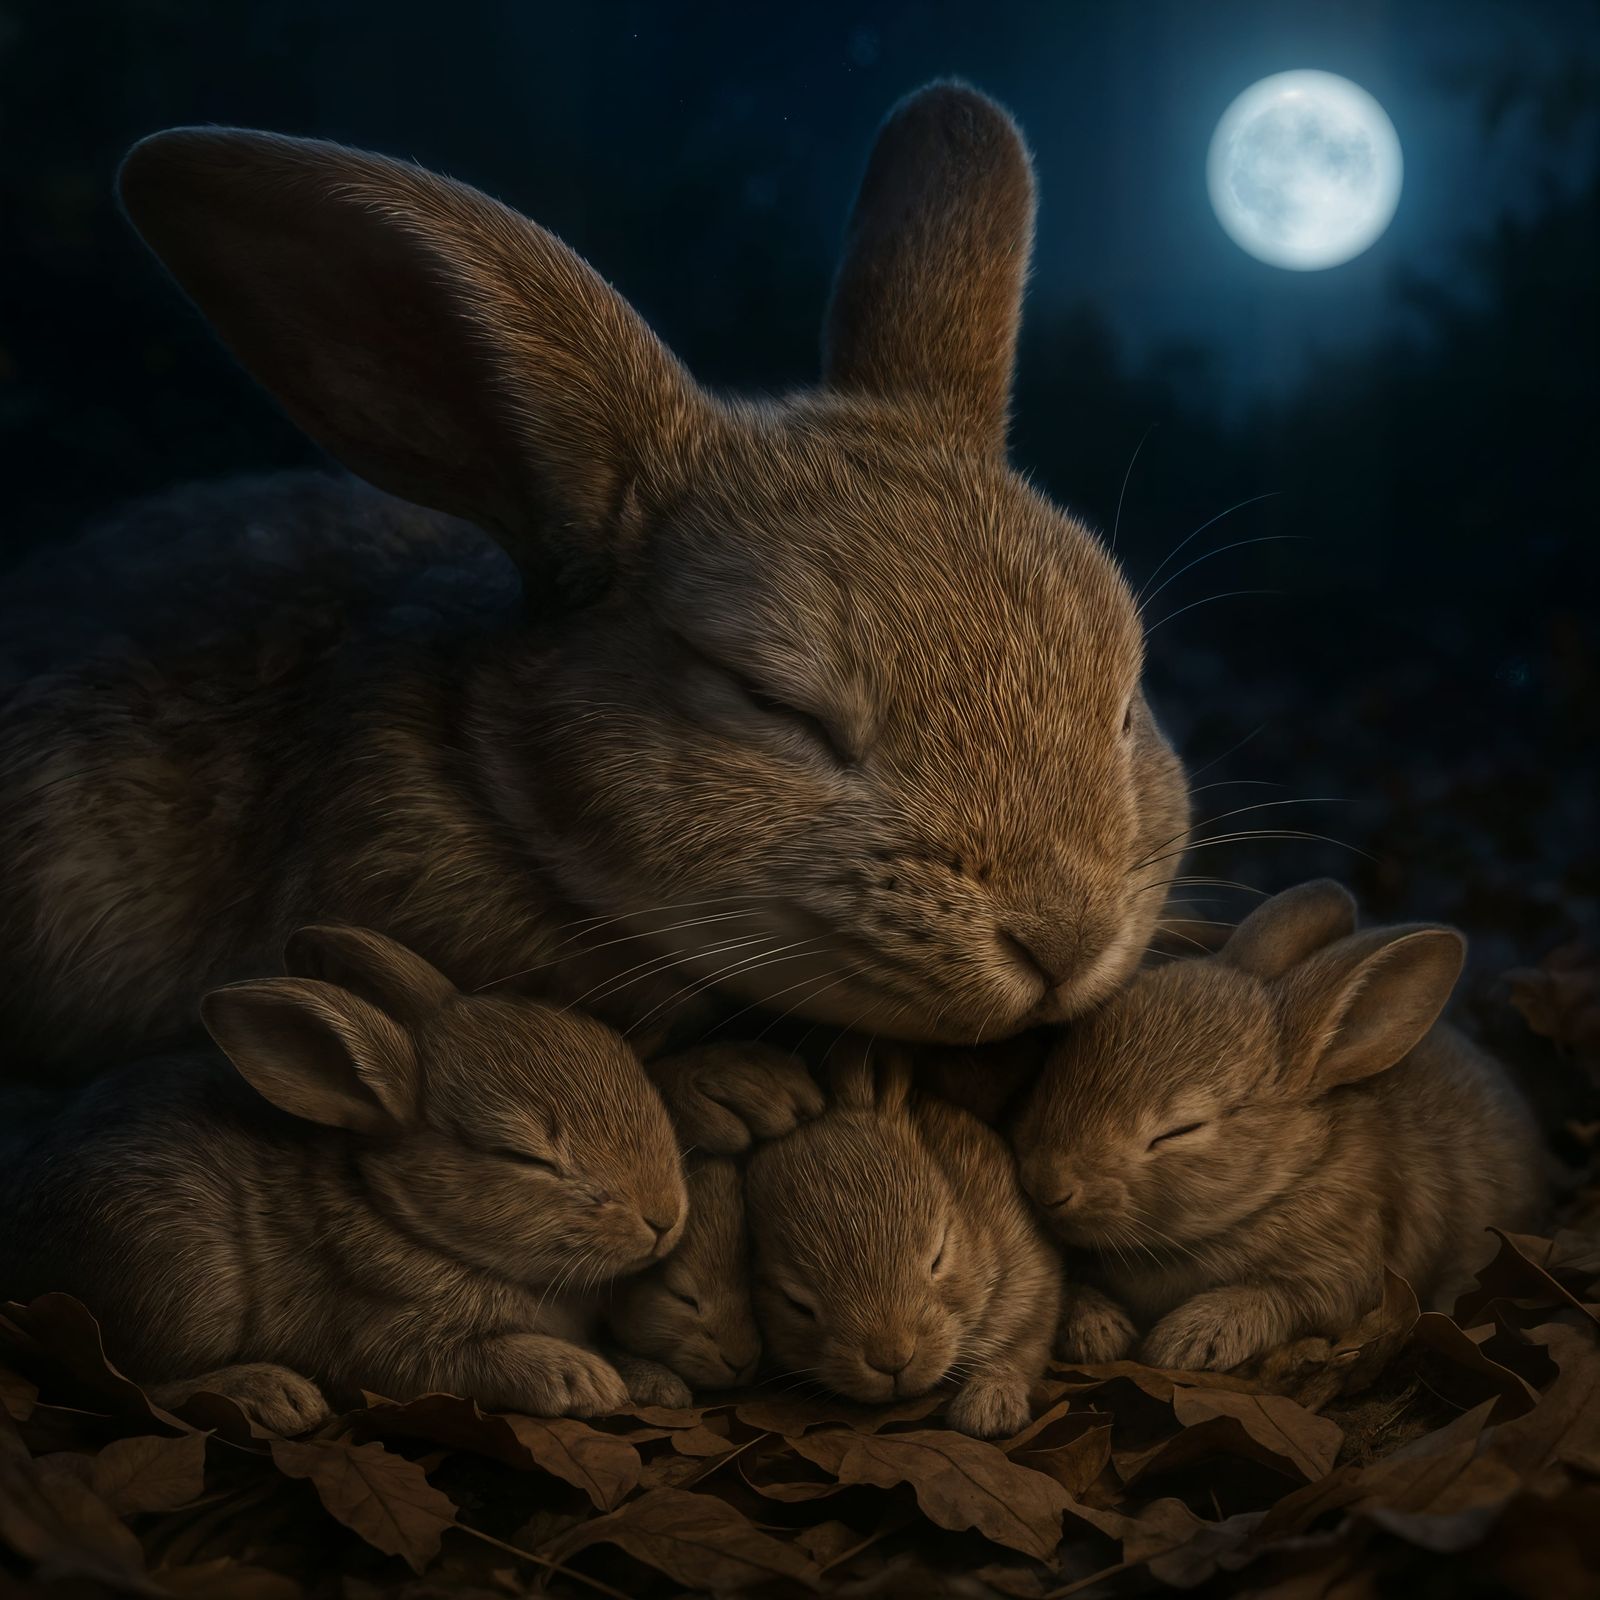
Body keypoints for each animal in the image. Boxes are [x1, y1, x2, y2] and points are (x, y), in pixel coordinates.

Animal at [0, 925, 690, 1432]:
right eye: (520, 1156)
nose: (664, 1218)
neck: (403, 1216)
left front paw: (658, 1382)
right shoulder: (385, 1340)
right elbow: (459, 1359)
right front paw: (580, 1376)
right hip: (179, 1278)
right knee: (129, 1375)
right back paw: (270, 1393)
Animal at [746, 1040, 1060, 1437]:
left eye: (937, 1257)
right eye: (796, 1304)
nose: (893, 1360)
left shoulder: (1032, 1286)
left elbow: (1019, 1350)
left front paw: (988, 1408)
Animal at [1011, 880, 1545, 1373]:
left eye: (1181, 1130)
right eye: (1061, 1057)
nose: (1046, 1186)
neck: (1283, 1181)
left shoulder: (1344, 1268)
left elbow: (1283, 1298)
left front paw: (1189, 1339)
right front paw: (1096, 1327)